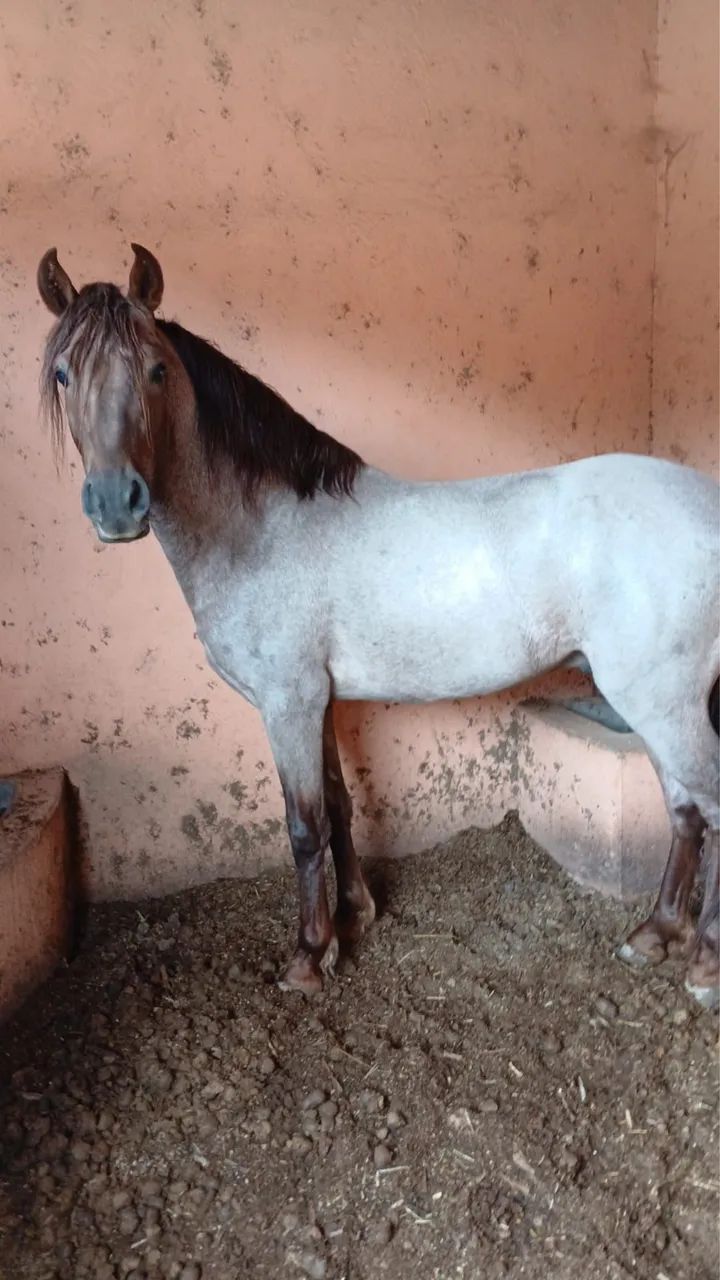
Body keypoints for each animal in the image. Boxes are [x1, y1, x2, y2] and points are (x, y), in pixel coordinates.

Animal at [37, 244, 720, 1010]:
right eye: (64, 373)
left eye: (155, 369)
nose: (115, 504)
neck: (263, 527)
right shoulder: (320, 701)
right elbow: (338, 804)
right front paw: (354, 915)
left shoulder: (288, 702)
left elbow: (303, 826)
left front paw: (308, 956)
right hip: (653, 704)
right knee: (686, 810)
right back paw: (654, 935)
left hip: (662, 701)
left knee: (708, 806)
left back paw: (704, 967)